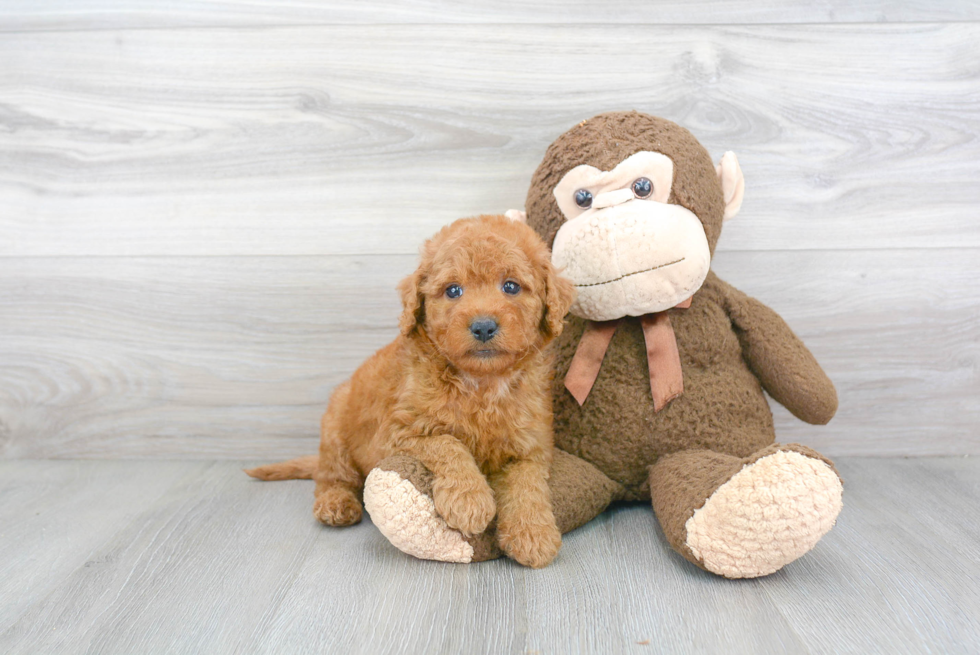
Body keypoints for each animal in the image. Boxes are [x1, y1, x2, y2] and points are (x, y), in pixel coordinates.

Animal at [245, 215, 580, 568]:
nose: (483, 326)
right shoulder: (396, 432)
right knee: (332, 477)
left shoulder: (532, 444)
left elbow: (527, 483)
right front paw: (468, 499)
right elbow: (447, 443)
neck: (482, 384)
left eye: (511, 286)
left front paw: (533, 534)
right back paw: (335, 503)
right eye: (453, 290)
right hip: (335, 430)